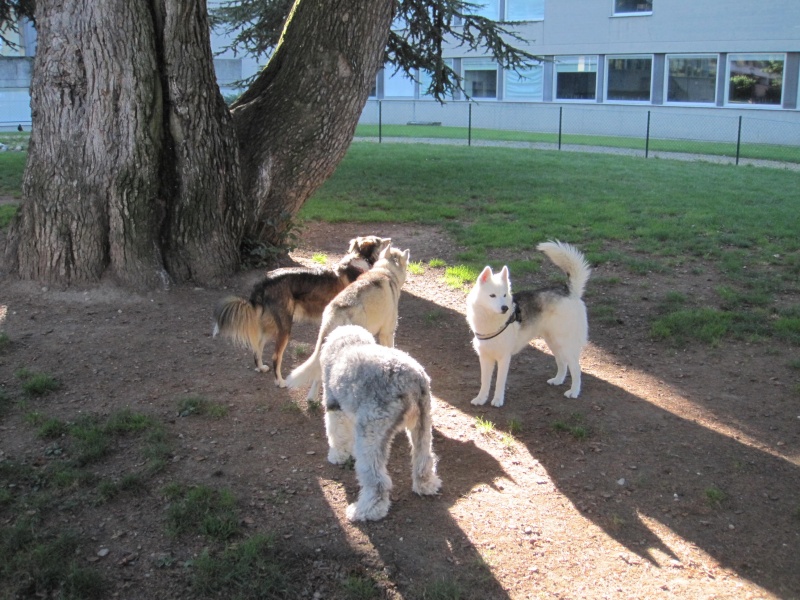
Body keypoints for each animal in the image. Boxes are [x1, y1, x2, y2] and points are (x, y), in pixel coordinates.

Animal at [211, 234, 390, 384]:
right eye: (379, 241)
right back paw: (280, 382)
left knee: (258, 346)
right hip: (285, 327)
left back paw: (261, 367)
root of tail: (265, 280)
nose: (389, 240)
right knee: (275, 356)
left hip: (272, 324)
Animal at [320, 324, 444, 520]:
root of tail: (411, 381)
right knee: (424, 460)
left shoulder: (334, 406)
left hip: (371, 434)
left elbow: (336, 435)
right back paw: (426, 485)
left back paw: (366, 511)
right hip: (422, 425)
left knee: (377, 482)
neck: (349, 343)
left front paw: (338, 456)